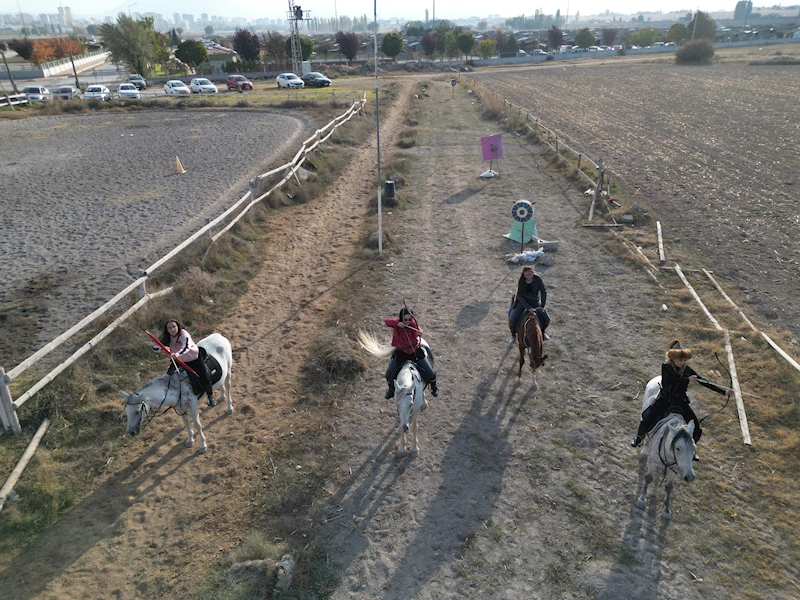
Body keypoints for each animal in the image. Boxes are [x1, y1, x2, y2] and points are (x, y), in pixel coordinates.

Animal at [360, 330, 428, 458]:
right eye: (398, 405)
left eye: (411, 404)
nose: (405, 427)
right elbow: (401, 424)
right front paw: (402, 449)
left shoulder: (415, 409)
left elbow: (414, 426)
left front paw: (415, 449)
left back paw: (425, 402)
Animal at [636, 376, 692, 520]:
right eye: (678, 448)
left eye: (694, 449)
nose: (690, 477)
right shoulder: (652, 462)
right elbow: (648, 478)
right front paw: (642, 500)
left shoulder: (675, 469)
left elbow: (668, 487)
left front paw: (666, 511)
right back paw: (644, 451)